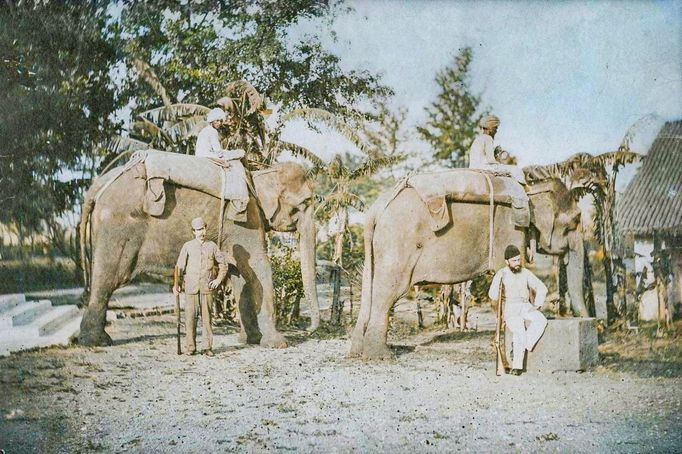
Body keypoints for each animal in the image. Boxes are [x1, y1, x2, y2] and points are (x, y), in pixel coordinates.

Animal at [77, 158, 318, 346]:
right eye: (305, 202)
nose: (309, 330)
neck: (257, 177)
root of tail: (98, 184)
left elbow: (240, 273)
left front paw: (252, 340)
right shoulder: (245, 220)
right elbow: (260, 268)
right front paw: (277, 343)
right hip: (117, 231)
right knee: (107, 280)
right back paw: (96, 341)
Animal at [350, 170, 584, 358]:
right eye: (574, 221)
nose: (584, 319)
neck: (529, 189)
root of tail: (376, 208)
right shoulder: (511, 229)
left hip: (376, 248)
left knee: (370, 287)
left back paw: (358, 352)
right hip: (397, 245)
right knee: (388, 292)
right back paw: (381, 356)